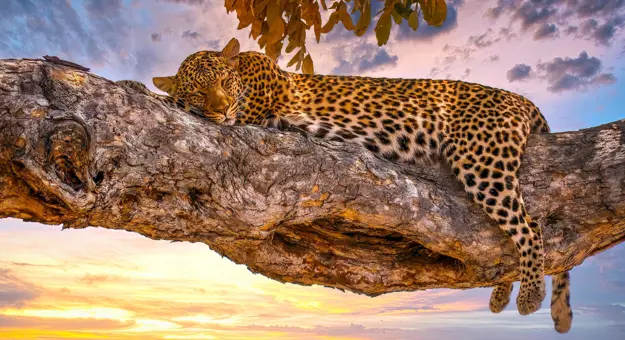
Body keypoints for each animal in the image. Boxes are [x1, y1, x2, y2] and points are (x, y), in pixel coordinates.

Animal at [145, 39, 572, 332]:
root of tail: (520, 99)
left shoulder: (249, 114)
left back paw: (530, 295)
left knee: (530, 226)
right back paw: (501, 294)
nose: (219, 109)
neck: (247, 75)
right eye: (199, 89)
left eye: (222, 81)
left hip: (480, 158)